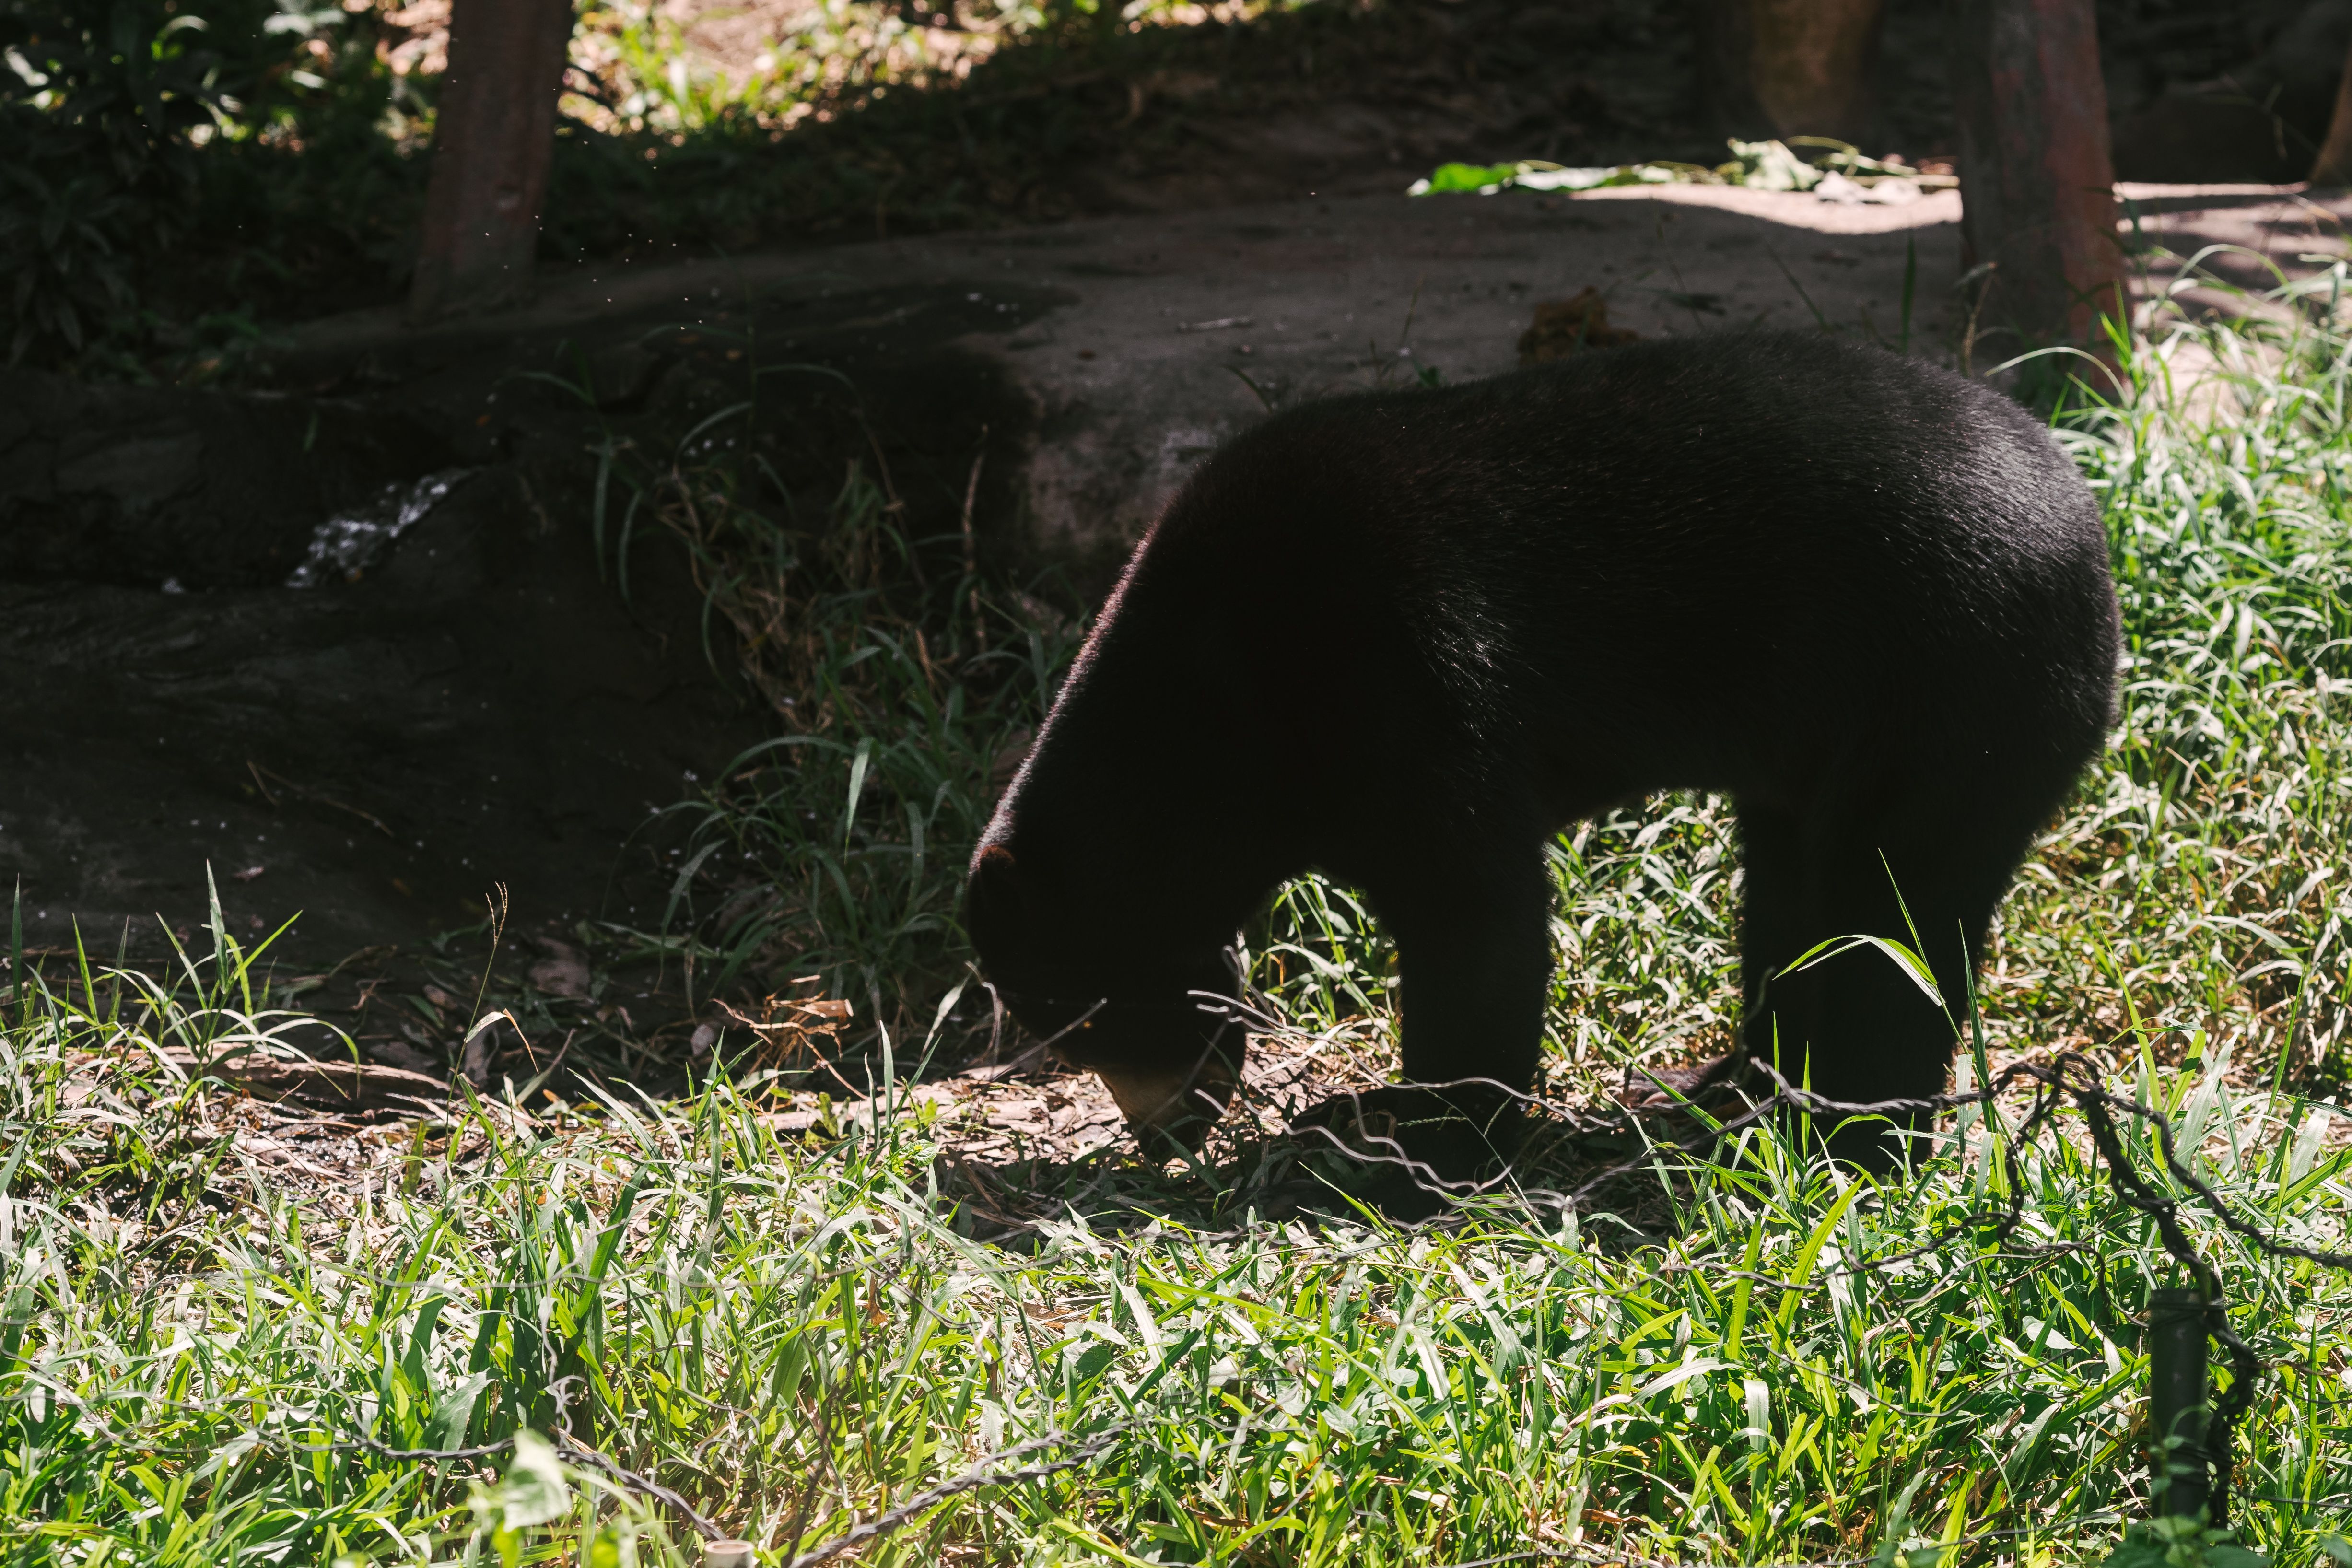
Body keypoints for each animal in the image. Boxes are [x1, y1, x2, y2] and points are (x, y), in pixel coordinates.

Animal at [965, 331, 2118, 1205]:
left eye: (1088, 1021)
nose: (1163, 1137)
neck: (1213, 709)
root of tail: (2088, 530)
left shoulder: (1405, 678)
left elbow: (1480, 924)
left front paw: (1405, 1151)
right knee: (1796, 900)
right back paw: (1720, 1088)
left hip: (1948, 688)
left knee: (1893, 911)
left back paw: (1853, 1139)